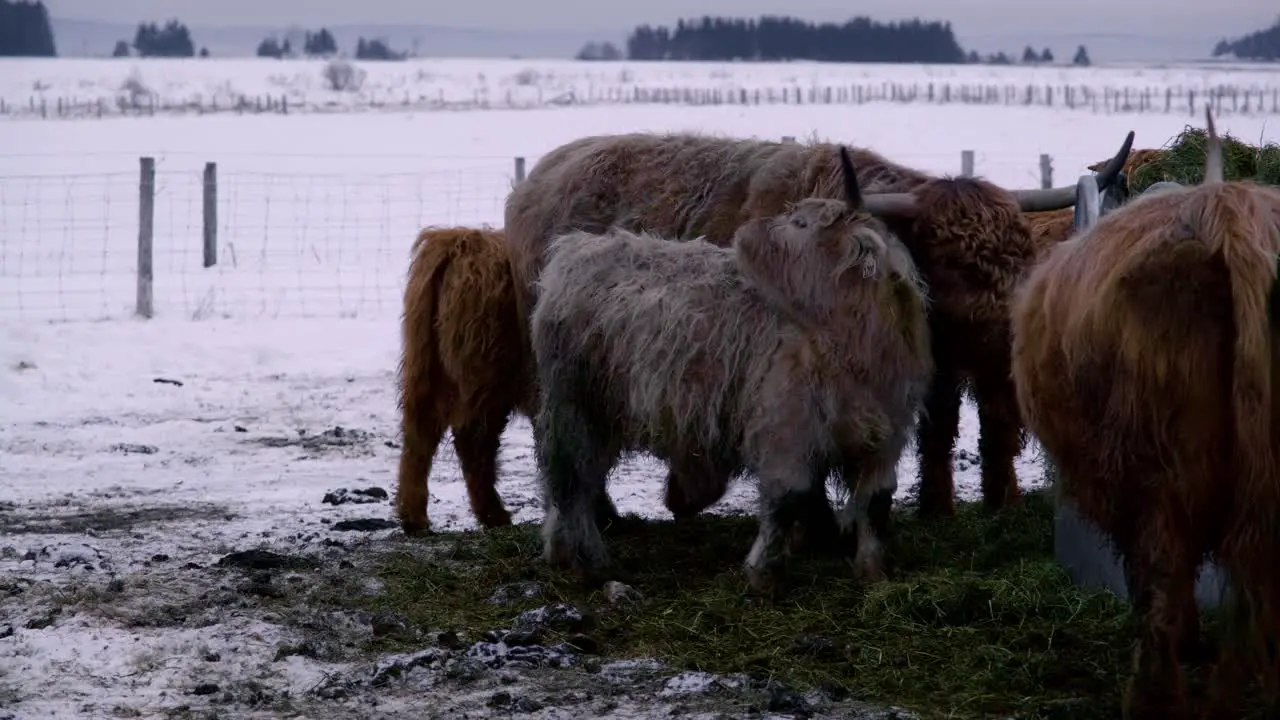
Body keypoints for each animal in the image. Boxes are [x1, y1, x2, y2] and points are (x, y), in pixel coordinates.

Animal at [504, 128, 1136, 517]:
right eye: (958, 264)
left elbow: (959, 430)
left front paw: (958, 506)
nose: (1016, 326)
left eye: (1022, 254)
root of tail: (537, 178)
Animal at [529, 148, 931, 591]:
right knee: (571, 481)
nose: (748, 230)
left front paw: (874, 571)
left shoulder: (887, 436)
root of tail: (575, 251)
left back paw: (559, 551)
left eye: (801, 224)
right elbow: (788, 497)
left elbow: (876, 500)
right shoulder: (784, 429)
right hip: (576, 405)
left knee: (574, 482)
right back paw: (590, 561)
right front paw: (764, 574)